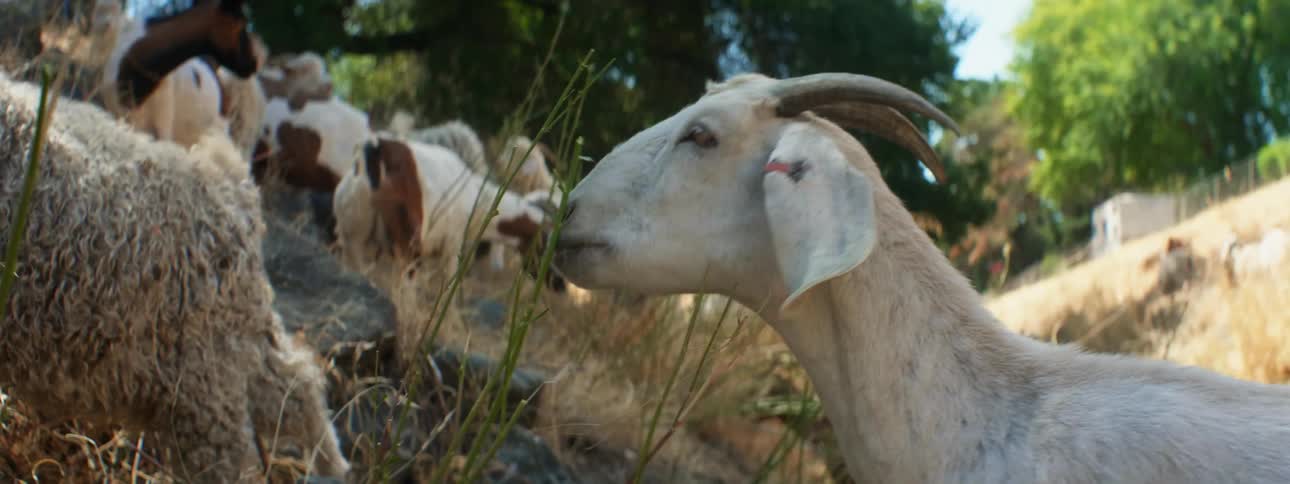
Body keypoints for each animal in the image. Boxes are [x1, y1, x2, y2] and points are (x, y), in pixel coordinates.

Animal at [0, 72, 348, 482]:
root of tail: (234, 191)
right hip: (231, 344)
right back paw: (332, 463)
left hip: (203, 379)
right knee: (295, 383)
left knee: (239, 445)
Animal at [332, 135, 556, 365]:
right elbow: (449, 285)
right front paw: (454, 330)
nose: (555, 283)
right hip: (408, 245)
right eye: (546, 242)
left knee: (359, 273)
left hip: (353, 235)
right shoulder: (452, 244)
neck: (478, 200)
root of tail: (378, 149)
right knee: (405, 294)